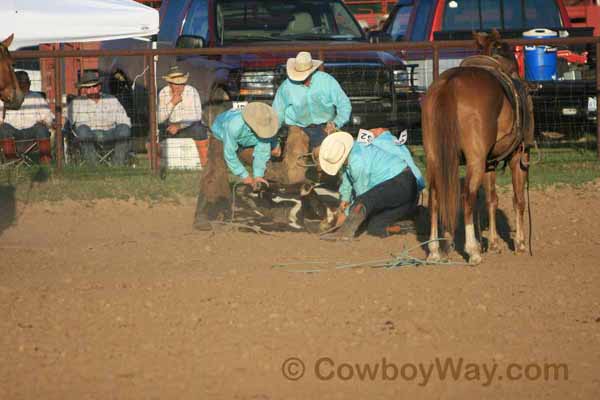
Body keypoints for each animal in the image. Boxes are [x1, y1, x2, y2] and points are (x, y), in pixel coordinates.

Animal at [420, 32, 532, 266]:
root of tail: (449, 84)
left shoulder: (489, 162)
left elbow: (491, 199)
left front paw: (494, 243)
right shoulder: (518, 156)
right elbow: (518, 200)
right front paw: (519, 243)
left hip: (435, 157)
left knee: (434, 196)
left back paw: (435, 250)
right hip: (475, 160)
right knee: (467, 197)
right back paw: (473, 251)